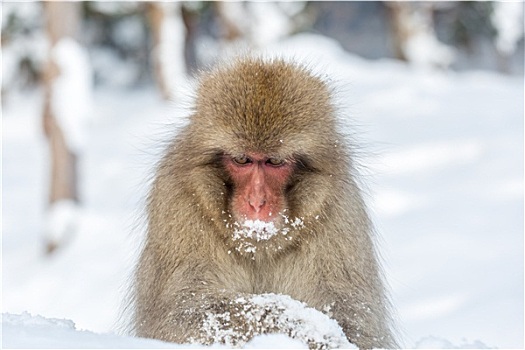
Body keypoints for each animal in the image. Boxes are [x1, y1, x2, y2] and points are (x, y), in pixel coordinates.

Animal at [131, 58, 398, 350]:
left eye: (275, 162)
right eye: (242, 159)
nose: (257, 201)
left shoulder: (340, 210)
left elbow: (358, 323)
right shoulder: (178, 203)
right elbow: (183, 311)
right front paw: (306, 328)